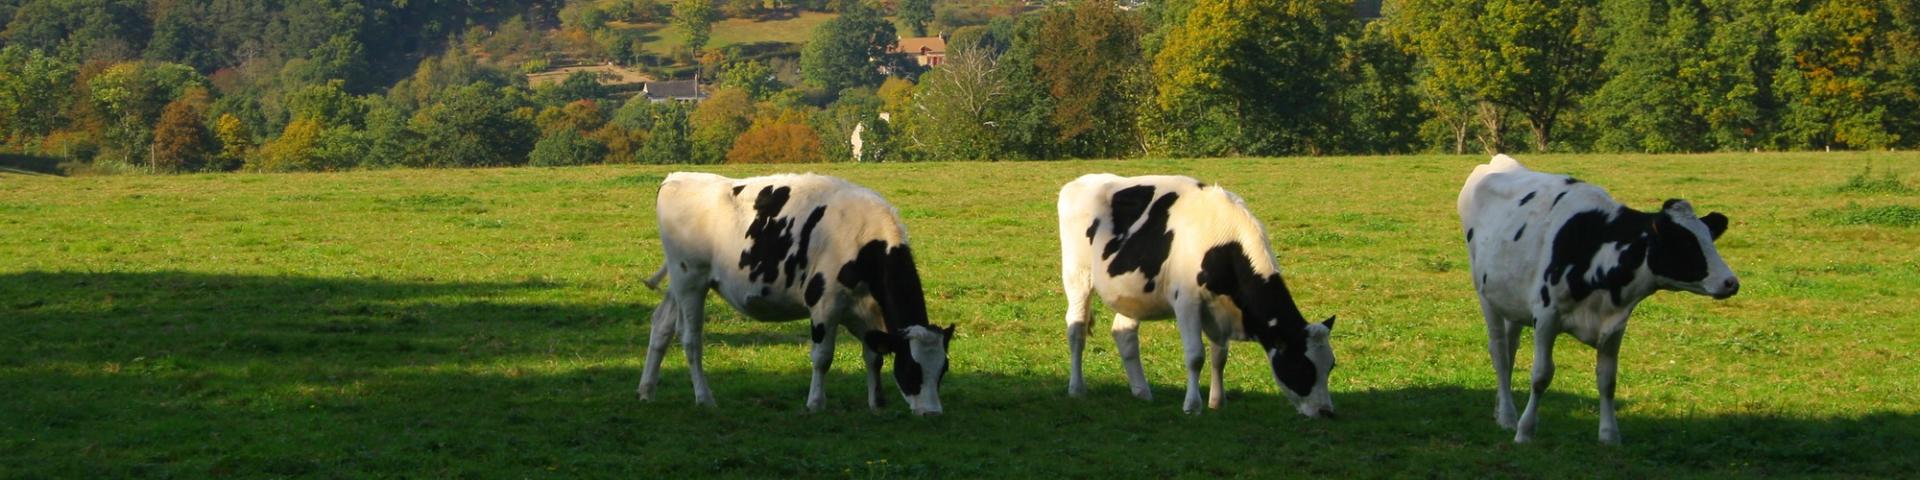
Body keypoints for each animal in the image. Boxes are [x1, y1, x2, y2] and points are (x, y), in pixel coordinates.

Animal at [639, 172, 955, 415]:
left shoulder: (866, 311)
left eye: (943, 369)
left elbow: (874, 355)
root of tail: (676, 177)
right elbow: (823, 357)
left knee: (662, 325)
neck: (867, 242)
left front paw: (876, 403)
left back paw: (646, 391)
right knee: (691, 340)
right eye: (912, 369)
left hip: (679, 283)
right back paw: (704, 398)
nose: (932, 413)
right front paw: (815, 403)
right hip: (690, 279)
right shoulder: (825, 303)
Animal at [1058, 174, 1338, 416]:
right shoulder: (1187, 302)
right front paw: (1192, 405)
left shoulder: (1218, 309)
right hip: (1077, 276)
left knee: (1124, 333)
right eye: (1302, 366)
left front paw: (1217, 401)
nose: (1326, 412)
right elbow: (1195, 356)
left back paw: (1142, 391)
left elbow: (1219, 357)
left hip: (1131, 292)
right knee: (1077, 330)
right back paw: (1076, 388)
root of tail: (1081, 181)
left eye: (1330, 365)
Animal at [1458, 154, 1739, 444]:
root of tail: (1498, 162)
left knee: (1511, 348)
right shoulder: (1546, 316)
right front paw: (1525, 431)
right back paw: (1508, 417)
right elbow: (1541, 376)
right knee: (1500, 353)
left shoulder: (1614, 324)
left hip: (1511, 299)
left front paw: (1609, 435)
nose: (1731, 282)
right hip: (1485, 295)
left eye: (1710, 239)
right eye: (1684, 243)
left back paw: (1501, 409)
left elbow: (1607, 380)